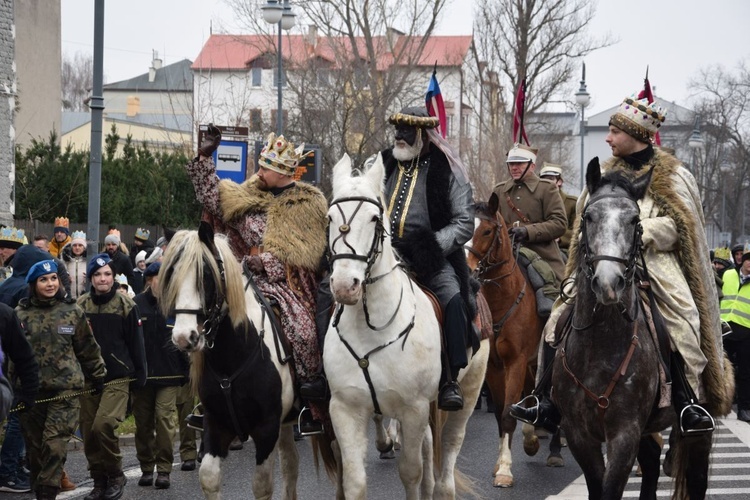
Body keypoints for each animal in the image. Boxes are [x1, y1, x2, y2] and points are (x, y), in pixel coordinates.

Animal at [161, 225, 338, 498]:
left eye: (206, 276)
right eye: (171, 274)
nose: (184, 337)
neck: (232, 358)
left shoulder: (266, 428)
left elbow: (262, 485)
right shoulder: (216, 424)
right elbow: (209, 477)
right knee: (291, 464)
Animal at [326, 153, 490, 500]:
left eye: (375, 218)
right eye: (330, 216)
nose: (345, 286)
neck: (370, 328)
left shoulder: (412, 409)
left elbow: (411, 473)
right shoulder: (346, 408)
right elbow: (355, 481)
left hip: (467, 394)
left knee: (449, 448)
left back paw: (444, 487)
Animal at [468, 193, 556, 486]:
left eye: (486, 231)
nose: (467, 269)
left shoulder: (515, 361)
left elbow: (508, 412)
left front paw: (505, 470)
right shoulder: (494, 366)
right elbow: (500, 412)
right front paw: (500, 463)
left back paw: (554, 451)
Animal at [556, 162, 712, 498]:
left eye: (635, 220)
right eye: (589, 216)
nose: (608, 283)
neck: (600, 345)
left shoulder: (625, 432)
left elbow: (610, 488)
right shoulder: (578, 433)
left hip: (698, 423)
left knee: (697, 476)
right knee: (652, 462)